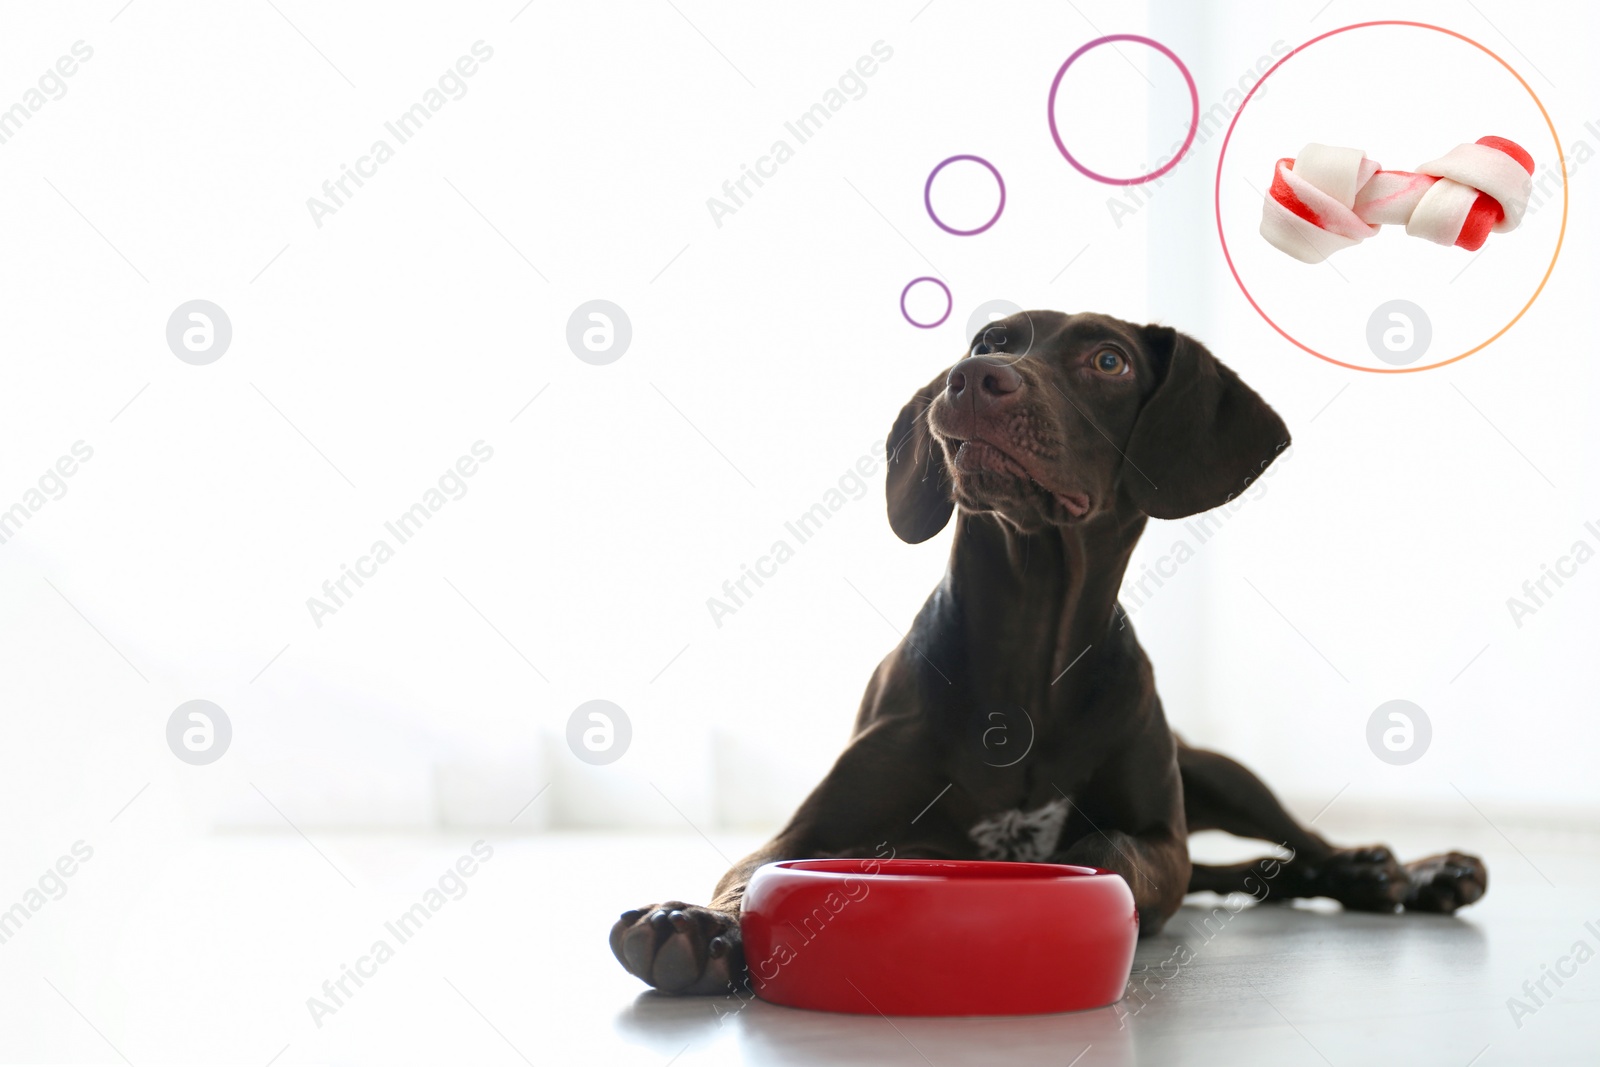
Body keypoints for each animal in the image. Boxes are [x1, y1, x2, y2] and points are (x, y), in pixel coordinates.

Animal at [604, 313, 1478, 998]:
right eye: (989, 340)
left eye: (1109, 361)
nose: (972, 379)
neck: (1028, 644)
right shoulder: (813, 832)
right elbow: (751, 874)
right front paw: (693, 923)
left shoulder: (1155, 834)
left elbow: (1114, 848)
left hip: (1219, 771)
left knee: (1291, 841)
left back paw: (1395, 871)